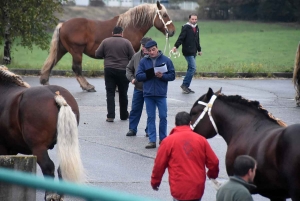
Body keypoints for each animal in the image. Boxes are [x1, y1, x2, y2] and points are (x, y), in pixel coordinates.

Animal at [39, 1, 176, 92]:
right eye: (164, 15)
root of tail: (63, 24)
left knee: (51, 62)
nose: (172, 31)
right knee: (76, 68)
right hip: (76, 51)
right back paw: (87, 86)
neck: (131, 26)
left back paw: (45, 81)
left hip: (62, 49)